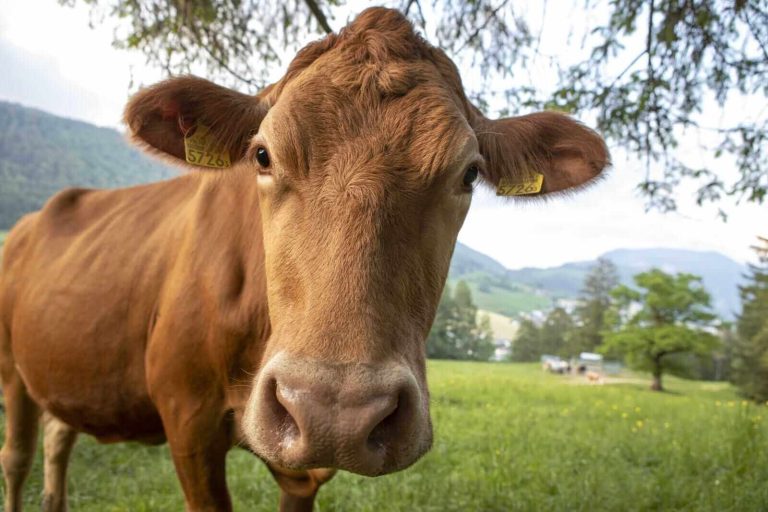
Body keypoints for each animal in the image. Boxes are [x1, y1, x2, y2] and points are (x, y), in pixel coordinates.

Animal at [0, 7, 609, 512]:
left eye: (468, 174)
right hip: (12, 366)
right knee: (18, 457)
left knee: (58, 438)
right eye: (262, 155)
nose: (336, 411)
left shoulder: (303, 471)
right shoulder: (186, 421)